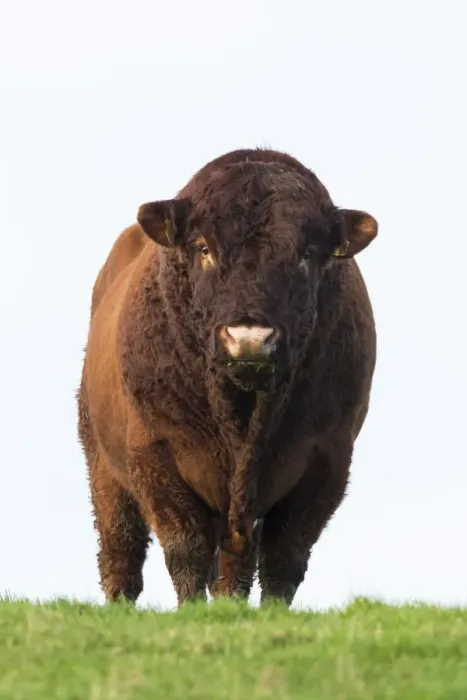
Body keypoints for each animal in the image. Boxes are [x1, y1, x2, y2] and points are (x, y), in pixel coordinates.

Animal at [77, 147, 378, 608]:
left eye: (307, 253)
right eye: (203, 247)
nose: (250, 339)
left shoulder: (327, 458)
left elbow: (285, 556)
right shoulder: (155, 451)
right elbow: (185, 548)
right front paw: (190, 610)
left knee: (234, 566)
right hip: (101, 464)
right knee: (120, 546)